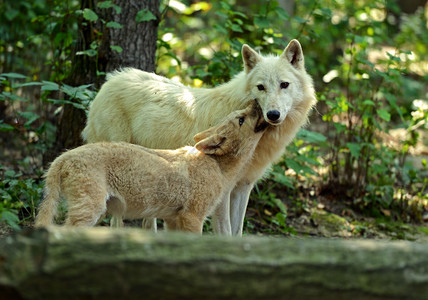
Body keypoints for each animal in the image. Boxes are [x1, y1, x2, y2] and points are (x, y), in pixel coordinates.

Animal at [82, 38, 316, 236]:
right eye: (261, 87)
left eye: (284, 84)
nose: (273, 115)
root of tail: (111, 79)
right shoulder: (222, 194)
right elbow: (226, 234)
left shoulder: (243, 188)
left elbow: (238, 233)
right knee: (116, 223)